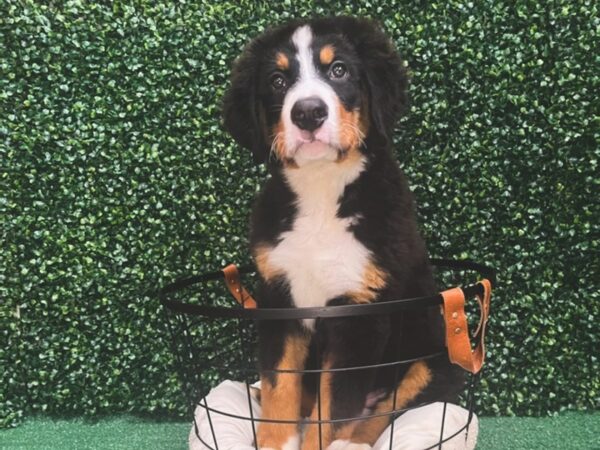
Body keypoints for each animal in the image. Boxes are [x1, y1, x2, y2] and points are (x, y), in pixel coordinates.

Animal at [223, 15, 462, 448]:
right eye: (277, 80)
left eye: (339, 70)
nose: (308, 112)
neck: (321, 191)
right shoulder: (279, 300)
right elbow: (280, 390)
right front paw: (274, 441)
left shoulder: (360, 315)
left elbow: (334, 408)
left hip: (432, 357)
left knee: (385, 411)